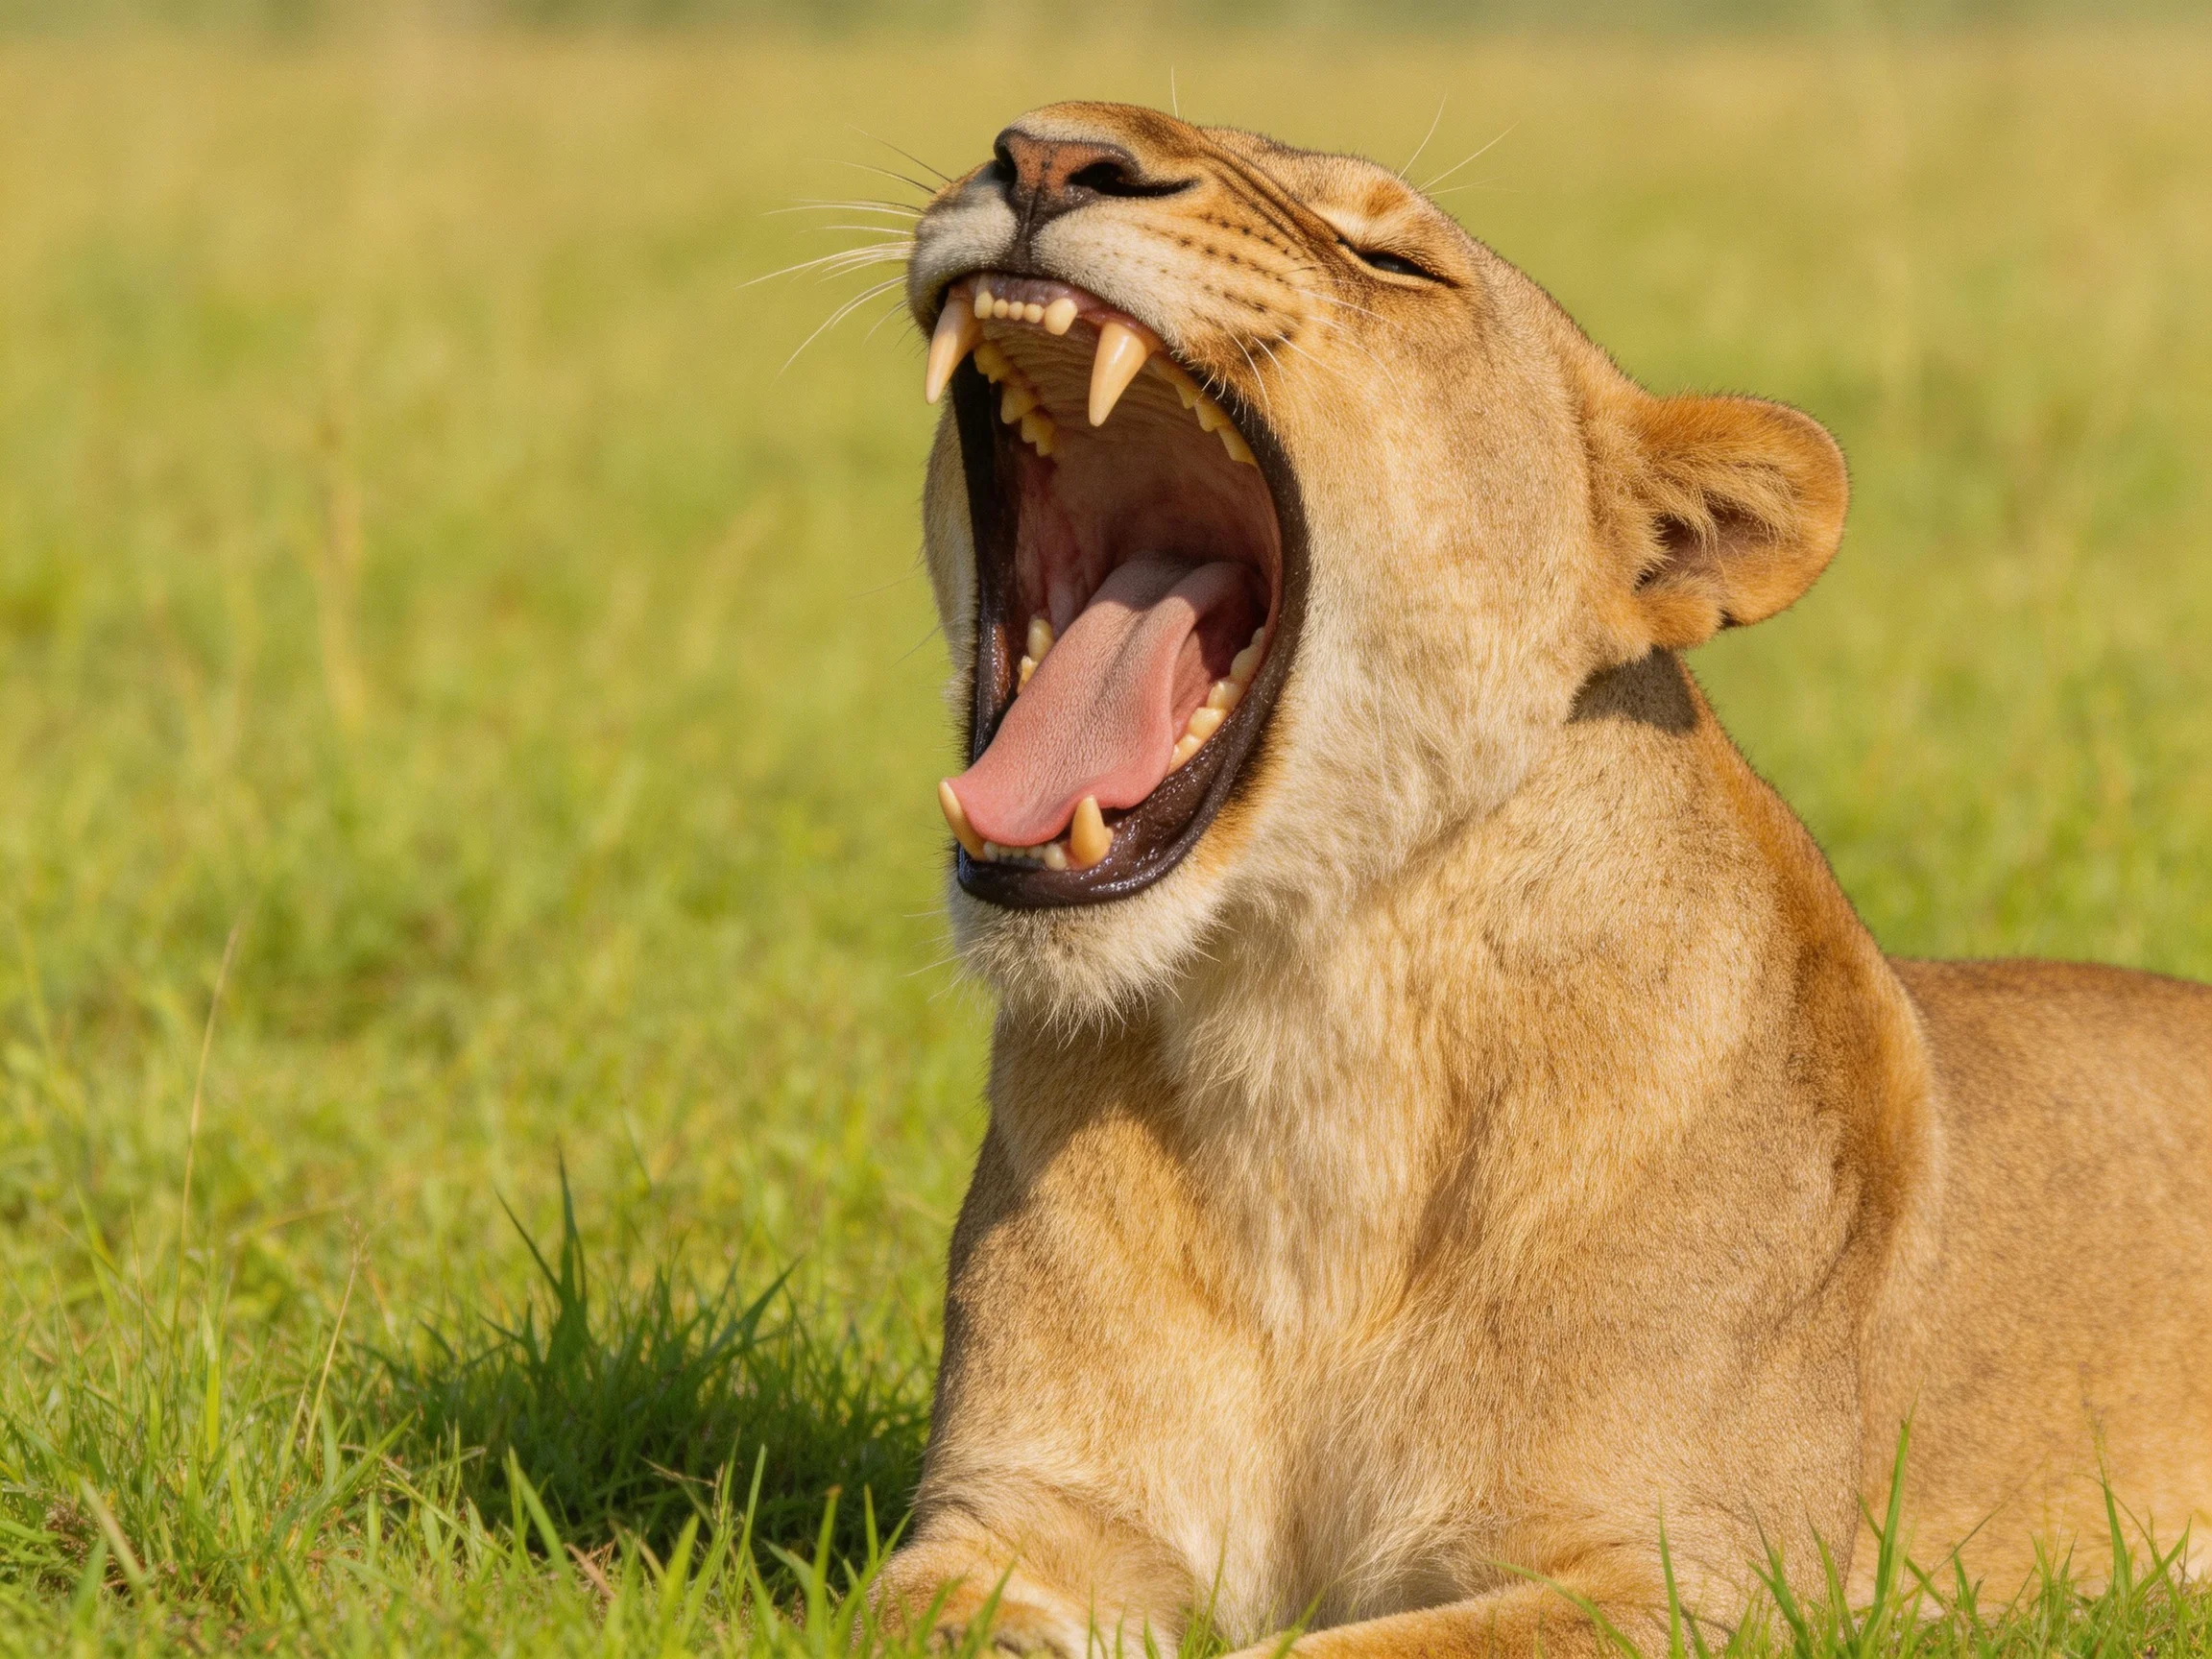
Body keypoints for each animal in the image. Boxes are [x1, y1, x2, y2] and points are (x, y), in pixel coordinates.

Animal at [871, 102, 2212, 1657]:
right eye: (1029, 145)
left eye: (1392, 260)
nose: (1042, 153)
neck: (1306, 1042)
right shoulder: (1014, 1525)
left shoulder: (1689, 1581)